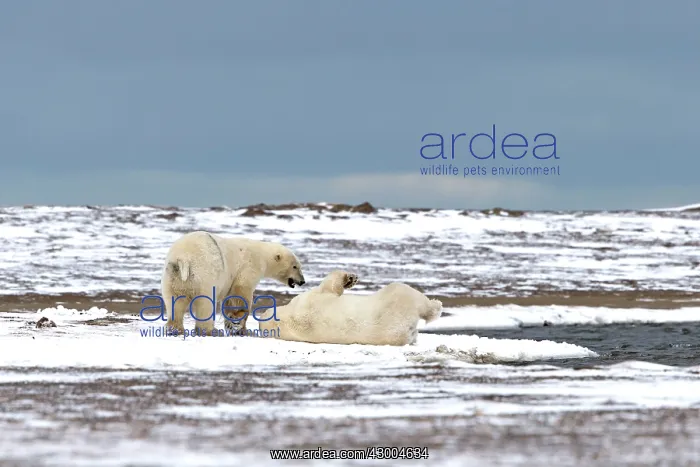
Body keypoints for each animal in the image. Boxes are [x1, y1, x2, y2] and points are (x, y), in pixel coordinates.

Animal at [160, 231, 306, 336]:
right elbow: (240, 292)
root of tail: (183, 259)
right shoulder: (248, 268)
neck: (261, 255)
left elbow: (229, 299)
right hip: (203, 275)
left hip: (172, 276)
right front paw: (239, 324)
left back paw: (174, 329)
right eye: (295, 266)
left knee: (174, 302)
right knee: (205, 303)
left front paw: (232, 325)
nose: (302, 281)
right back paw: (211, 331)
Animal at [257, 270, 442, 346]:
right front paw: (350, 278)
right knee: (406, 291)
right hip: (395, 301)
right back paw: (436, 306)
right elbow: (330, 286)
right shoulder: (309, 302)